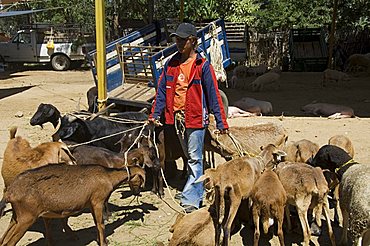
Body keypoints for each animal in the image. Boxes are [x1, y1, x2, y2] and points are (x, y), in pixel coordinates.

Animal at [0, 163, 147, 246]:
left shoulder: (91, 204)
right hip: (27, 217)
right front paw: (104, 243)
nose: (137, 192)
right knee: (9, 243)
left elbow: (96, 224)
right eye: (140, 180)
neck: (108, 176)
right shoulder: (98, 201)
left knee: (3, 240)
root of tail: (10, 191)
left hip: (16, 216)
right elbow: (101, 224)